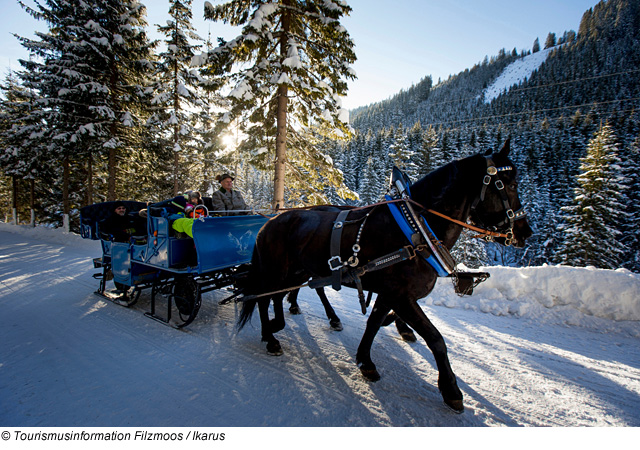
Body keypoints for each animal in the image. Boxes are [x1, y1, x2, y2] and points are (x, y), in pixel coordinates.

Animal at [238, 141, 532, 412]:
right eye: (510, 184)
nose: (524, 232)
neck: (417, 229)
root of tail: (268, 222)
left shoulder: (390, 294)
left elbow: (374, 322)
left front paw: (365, 360)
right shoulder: (401, 296)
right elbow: (436, 338)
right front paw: (450, 389)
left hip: (296, 273)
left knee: (280, 297)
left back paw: (281, 324)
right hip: (276, 271)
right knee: (262, 299)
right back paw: (271, 336)